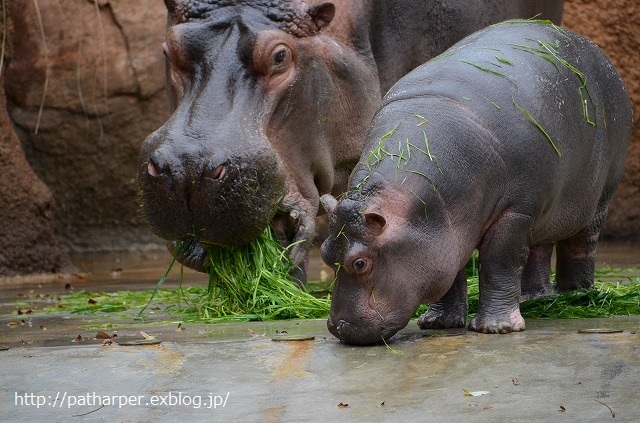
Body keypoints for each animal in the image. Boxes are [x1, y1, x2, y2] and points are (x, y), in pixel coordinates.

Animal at [320, 19, 632, 346]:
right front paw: (439, 322)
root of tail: (592, 47)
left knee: (582, 243)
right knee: (539, 247)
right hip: (545, 208)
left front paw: (496, 328)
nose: (338, 327)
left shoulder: (515, 212)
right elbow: (452, 270)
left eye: (360, 263)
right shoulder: (450, 229)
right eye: (325, 253)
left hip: (600, 195)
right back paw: (535, 298)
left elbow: (499, 262)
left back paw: (578, 295)